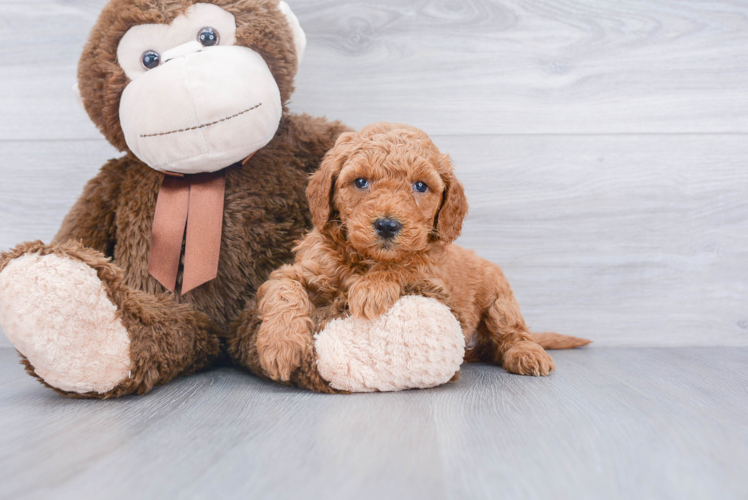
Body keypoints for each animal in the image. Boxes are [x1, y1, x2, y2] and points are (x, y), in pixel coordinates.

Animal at [258, 123, 592, 380]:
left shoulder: (437, 286)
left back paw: (528, 353)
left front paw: (370, 289)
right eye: (361, 181)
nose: (387, 225)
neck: (365, 259)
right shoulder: (304, 269)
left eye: (420, 186)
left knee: (512, 332)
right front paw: (280, 346)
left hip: (500, 298)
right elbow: (283, 289)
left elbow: (409, 263)